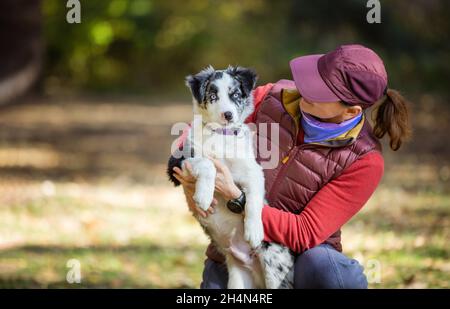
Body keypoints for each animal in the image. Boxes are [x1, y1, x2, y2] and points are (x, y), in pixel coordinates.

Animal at [167, 65, 294, 288]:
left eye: (235, 94)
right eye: (212, 96)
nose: (228, 115)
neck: (221, 135)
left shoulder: (253, 172)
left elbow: (253, 201)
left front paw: (254, 230)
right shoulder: (178, 162)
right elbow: (207, 164)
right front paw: (203, 197)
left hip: (276, 269)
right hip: (238, 278)